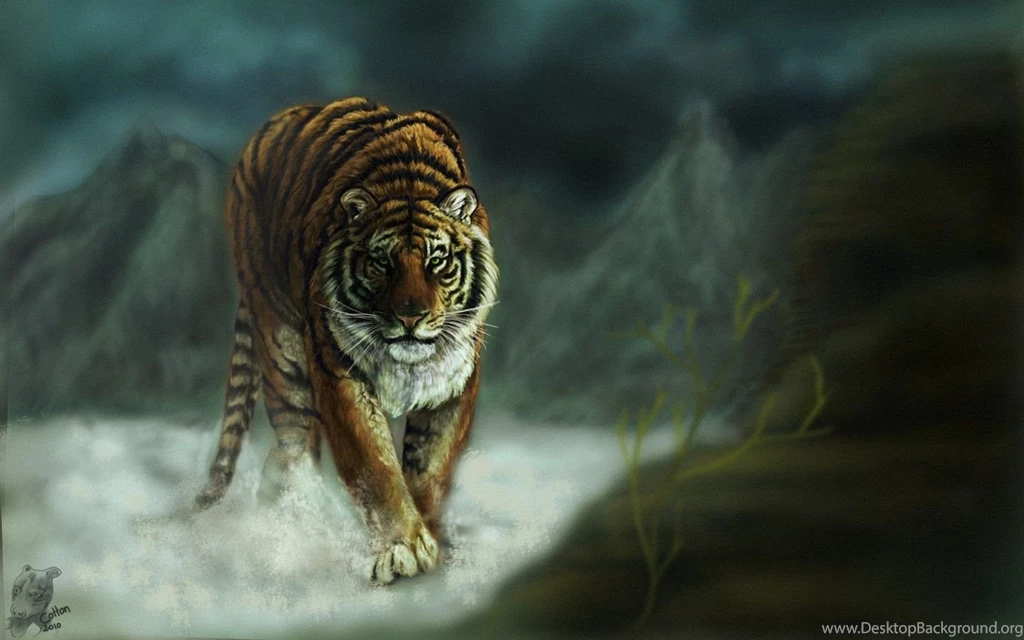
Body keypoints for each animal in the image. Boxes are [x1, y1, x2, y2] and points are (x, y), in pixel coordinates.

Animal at [194, 97, 499, 585]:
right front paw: (401, 548)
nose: (411, 316)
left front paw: (429, 539)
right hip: (281, 346)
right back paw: (294, 528)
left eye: (437, 261)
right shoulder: (338, 370)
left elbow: (430, 466)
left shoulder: (454, 379)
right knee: (294, 445)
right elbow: (373, 466)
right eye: (381, 262)